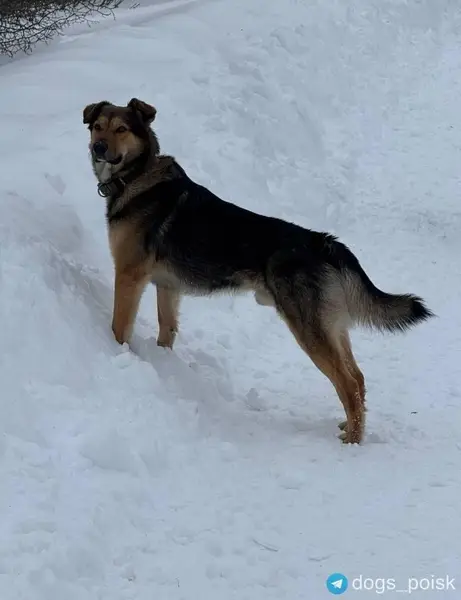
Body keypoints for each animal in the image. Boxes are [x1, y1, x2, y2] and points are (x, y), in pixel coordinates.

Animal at [83, 97, 433, 444]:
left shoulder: (129, 276)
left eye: (121, 129)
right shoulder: (167, 287)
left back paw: (354, 441)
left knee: (346, 383)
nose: (98, 147)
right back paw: (350, 427)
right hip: (330, 324)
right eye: (97, 126)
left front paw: (116, 352)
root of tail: (324, 242)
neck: (136, 176)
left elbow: (119, 327)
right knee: (357, 378)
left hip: (309, 328)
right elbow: (166, 330)